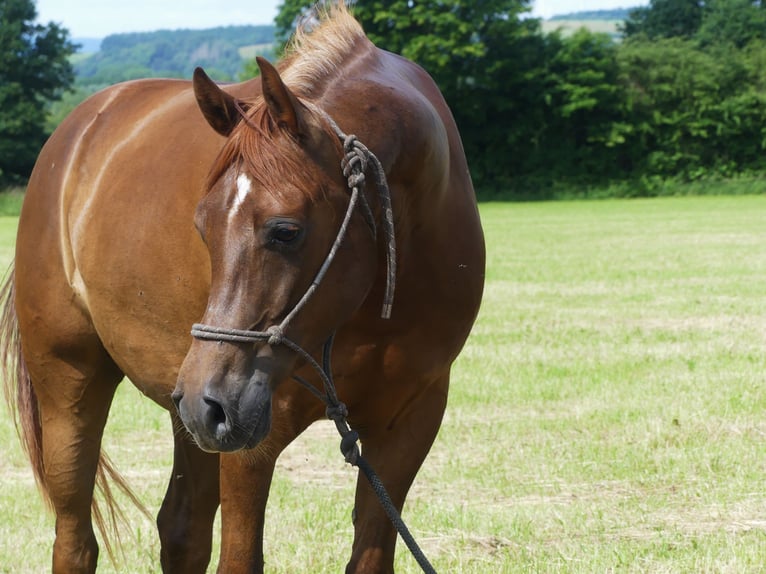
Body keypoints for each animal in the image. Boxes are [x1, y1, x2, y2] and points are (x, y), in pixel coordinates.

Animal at [0, 5, 486, 574]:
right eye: (202, 226)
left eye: (285, 231)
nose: (208, 403)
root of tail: (75, 131)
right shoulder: (252, 439)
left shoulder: (408, 424)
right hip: (80, 386)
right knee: (75, 540)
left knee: (181, 530)